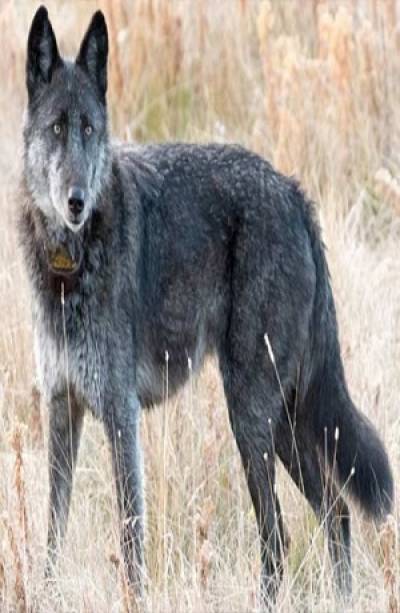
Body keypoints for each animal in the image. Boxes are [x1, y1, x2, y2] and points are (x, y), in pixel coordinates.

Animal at [19, 5, 394, 608]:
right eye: (57, 127)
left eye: (89, 129)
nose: (76, 201)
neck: (69, 262)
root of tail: (294, 193)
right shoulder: (61, 409)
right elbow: (54, 531)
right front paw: (46, 592)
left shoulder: (120, 415)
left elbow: (131, 542)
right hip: (281, 420)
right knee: (334, 513)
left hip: (252, 415)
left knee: (280, 534)